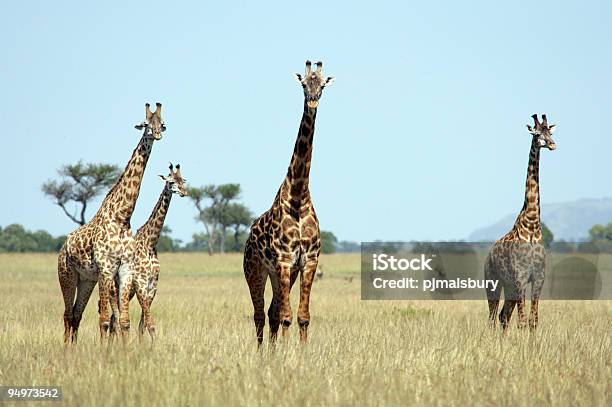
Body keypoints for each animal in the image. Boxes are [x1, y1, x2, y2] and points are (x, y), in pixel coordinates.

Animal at [57, 103, 166, 344]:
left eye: (162, 123)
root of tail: (63, 248)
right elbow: (105, 320)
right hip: (67, 275)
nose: (157, 134)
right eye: (146, 123)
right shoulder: (106, 269)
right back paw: (67, 351)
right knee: (68, 315)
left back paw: (74, 350)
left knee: (76, 314)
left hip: (86, 279)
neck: (121, 216)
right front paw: (104, 352)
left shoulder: (125, 269)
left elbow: (124, 321)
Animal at [126, 164, 186, 342]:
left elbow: (143, 325)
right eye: (171, 181)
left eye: (183, 180)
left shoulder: (152, 286)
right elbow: (150, 324)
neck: (150, 242)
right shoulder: (140, 282)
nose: (184, 192)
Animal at [243, 61, 334, 348]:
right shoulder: (283, 261)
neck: (298, 197)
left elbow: (302, 316)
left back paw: (271, 352)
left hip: (281, 274)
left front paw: (300, 354)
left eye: (322, 84)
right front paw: (287, 354)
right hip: (255, 270)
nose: (313, 100)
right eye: (304, 84)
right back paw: (262, 353)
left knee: (271, 312)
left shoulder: (308, 261)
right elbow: (286, 316)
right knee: (260, 314)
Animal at [486, 113, 556, 330]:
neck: (532, 224)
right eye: (537, 134)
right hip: (493, 281)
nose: (552, 144)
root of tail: (488, 254)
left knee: (503, 316)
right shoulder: (520, 276)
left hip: (508, 286)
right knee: (493, 317)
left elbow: (533, 320)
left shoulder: (539, 277)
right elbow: (523, 321)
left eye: (550, 132)